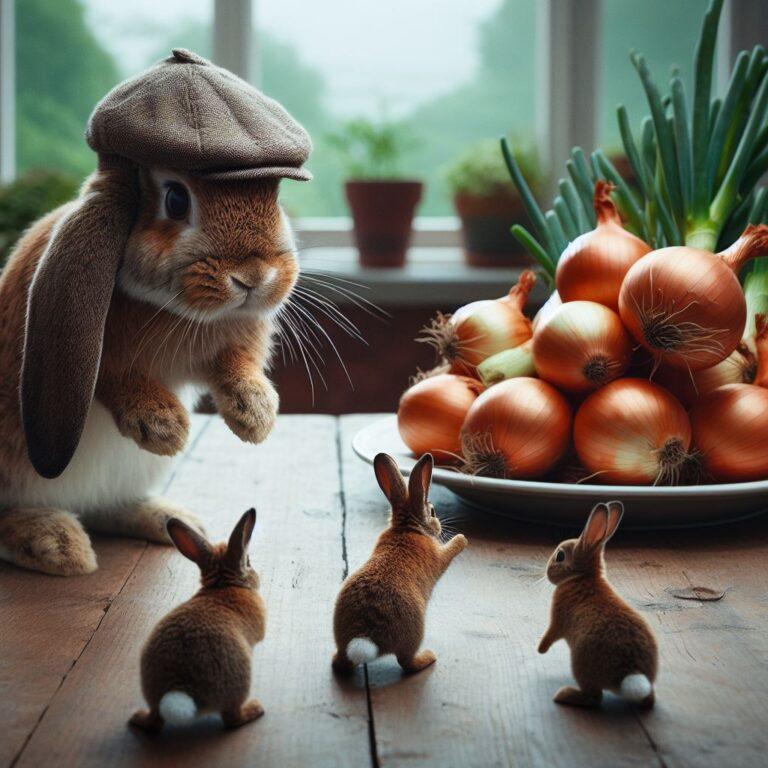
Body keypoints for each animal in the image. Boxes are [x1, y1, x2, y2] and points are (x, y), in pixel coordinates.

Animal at [0, 48, 312, 572]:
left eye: (273, 196)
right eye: (176, 198)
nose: (254, 277)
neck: (174, 309)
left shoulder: (231, 343)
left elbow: (238, 364)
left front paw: (256, 416)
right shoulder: (99, 359)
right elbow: (114, 376)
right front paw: (165, 427)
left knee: (106, 508)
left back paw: (172, 520)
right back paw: (55, 544)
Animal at [130, 508, 268, 728]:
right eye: (248, 562)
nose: (257, 576)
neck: (223, 584)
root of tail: (179, 689)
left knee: (154, 721)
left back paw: (137, 717)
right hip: (238, 679)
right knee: (232, 718)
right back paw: (255, 708)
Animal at [332, 452, 468, 676]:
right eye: (432, 511)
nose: (439, 526)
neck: (408, 527)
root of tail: (365, 636)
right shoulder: (439, 557)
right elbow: (449, 552)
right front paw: (461, 539)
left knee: (338, 662)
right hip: (415, 632)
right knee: (406, 662)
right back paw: (428, 656)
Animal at [536, 500, 656, 712]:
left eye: (560, 556)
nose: (547, 572)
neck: (582, 577)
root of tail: (631, 672)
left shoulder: (558, 619)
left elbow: (551, 634)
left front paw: (540, 649)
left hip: (581, 661)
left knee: (594, 698)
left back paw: (564, 695)